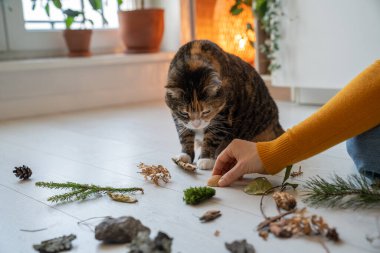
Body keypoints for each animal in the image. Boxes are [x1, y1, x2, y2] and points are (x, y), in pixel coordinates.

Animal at [165, 40, 284, 170]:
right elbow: (185, 135)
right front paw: (185, 155)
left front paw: (205, 159)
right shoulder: (178, 118)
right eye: (184, 112)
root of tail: (276, 125)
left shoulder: (223, 116)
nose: (197, 124)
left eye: (206, 111)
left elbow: (212, 137)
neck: (193, 59)